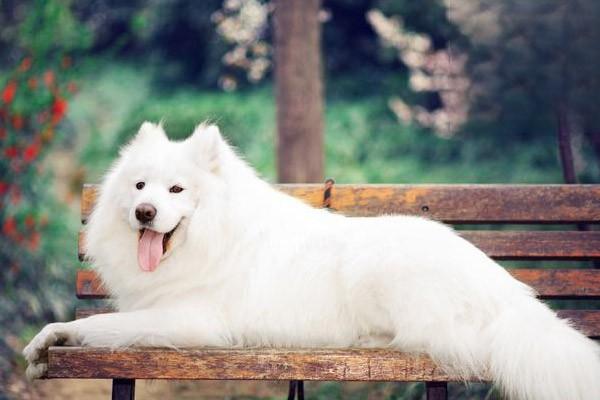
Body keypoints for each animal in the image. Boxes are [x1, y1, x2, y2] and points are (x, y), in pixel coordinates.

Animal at [24, 122, 600, 400]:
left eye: (176, 190)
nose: (144, 212)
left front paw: (52, 338)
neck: (212, 237)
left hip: (378, 269)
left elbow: (104, 324)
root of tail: (507, 292)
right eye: (140, 186)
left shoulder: (189, 319)